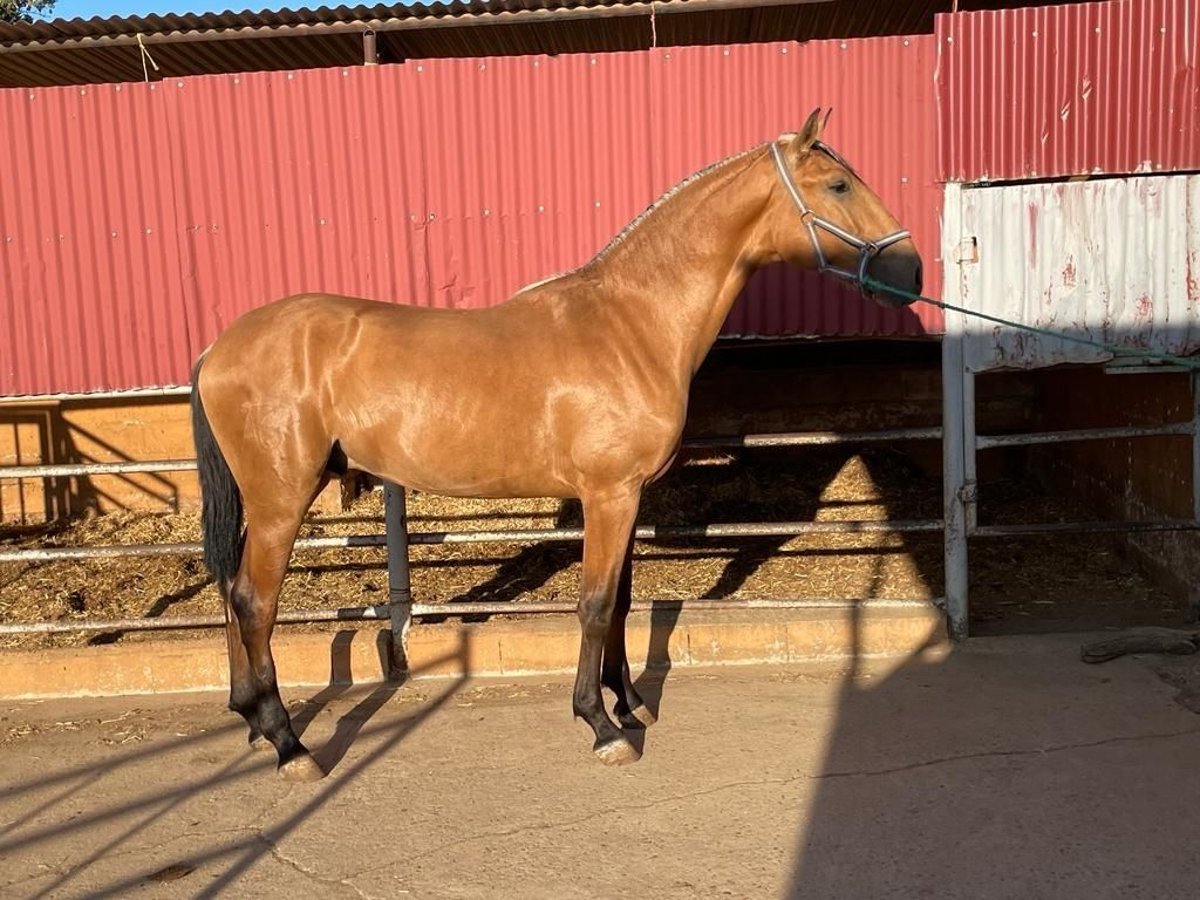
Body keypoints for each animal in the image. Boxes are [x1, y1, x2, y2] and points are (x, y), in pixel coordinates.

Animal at [189, 107, 916, 782]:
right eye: (839, 184)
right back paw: (289, 745)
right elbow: (593, 605)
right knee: (255, 602)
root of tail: (218, 348)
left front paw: (629, 704)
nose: (911, 271)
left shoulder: (626, 499)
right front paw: (602, 726)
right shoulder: (608, 495)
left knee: (232, 593)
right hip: (282, 501)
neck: (632, 322)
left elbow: (620, 602)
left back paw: (250, 719)